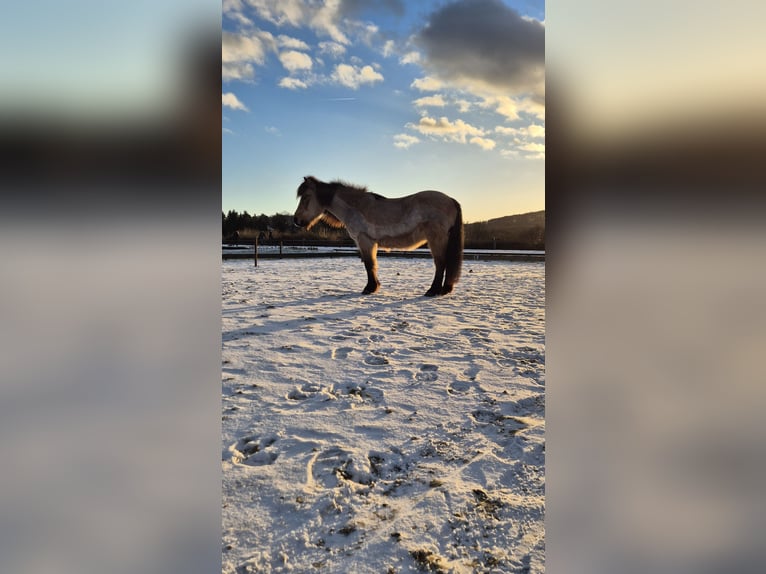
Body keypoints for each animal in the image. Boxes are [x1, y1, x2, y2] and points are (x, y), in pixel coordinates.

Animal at [293, 176, 463, 296]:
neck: (356, 207)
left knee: (440, 263)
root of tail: (450, 200)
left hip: (436, 239)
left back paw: (432, 291)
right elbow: (372, 264)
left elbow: (369, 264)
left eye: (306, 197)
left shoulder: (365, 241)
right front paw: (374, 287)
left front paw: (369, 288)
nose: (296, 220)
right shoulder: (367, 243)